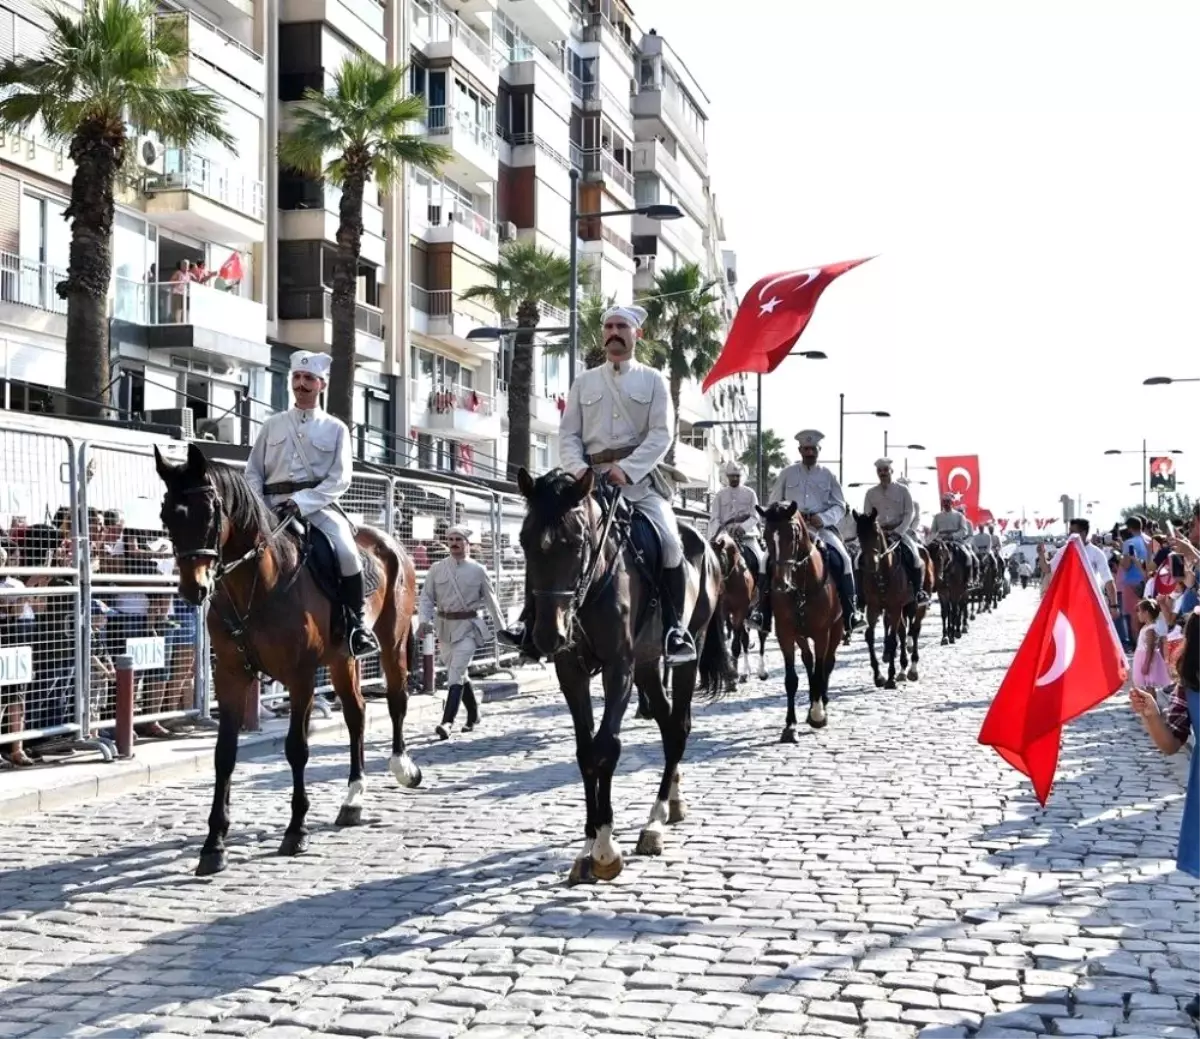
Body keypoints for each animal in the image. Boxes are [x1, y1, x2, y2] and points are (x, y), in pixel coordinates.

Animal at [153, 443, 422, 873]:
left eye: (209, 511)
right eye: (166, 514)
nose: (194, 589)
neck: (257, 584)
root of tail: (389, 542)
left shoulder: (300, 676)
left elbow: (297, 748)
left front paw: (296, 830)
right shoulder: (231, 676)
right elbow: (224, 755)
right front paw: (214, 844)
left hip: (392, 642)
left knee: (396, 699)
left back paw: (402, 768)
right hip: (342, 659)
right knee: (356, 713)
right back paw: (353, 799)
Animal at [516, 465, 729, 878]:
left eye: (576, 542)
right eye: (523, 541)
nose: (548, 635)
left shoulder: (619, 668)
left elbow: (607, 747)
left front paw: (604, 848)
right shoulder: (572, 672)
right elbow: (585, 751)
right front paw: (588, 844)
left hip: (686, 654)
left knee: (679, 727)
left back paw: (655, 821)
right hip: (646, 663)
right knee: (667, 722)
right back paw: (672, 802)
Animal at [710, 525, 768, 681]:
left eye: (719, 561)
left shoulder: (740, 610)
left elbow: (736, 644)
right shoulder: (723, 612)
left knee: (761, 636)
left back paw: (761, 670)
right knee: (745, 638)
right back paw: (746, 670)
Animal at [758, 499, 844, 739]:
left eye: (793, 534)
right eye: (766, 535)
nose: (780, 584)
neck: (801, 587)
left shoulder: (823, 633)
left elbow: (820, 670)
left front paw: (817, 714)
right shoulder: (786, 633)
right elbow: (791, 679)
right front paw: (790, 725)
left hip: (836, 629)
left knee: (827, 664)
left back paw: (822, 702)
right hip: (801, 635)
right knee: (808, 660)